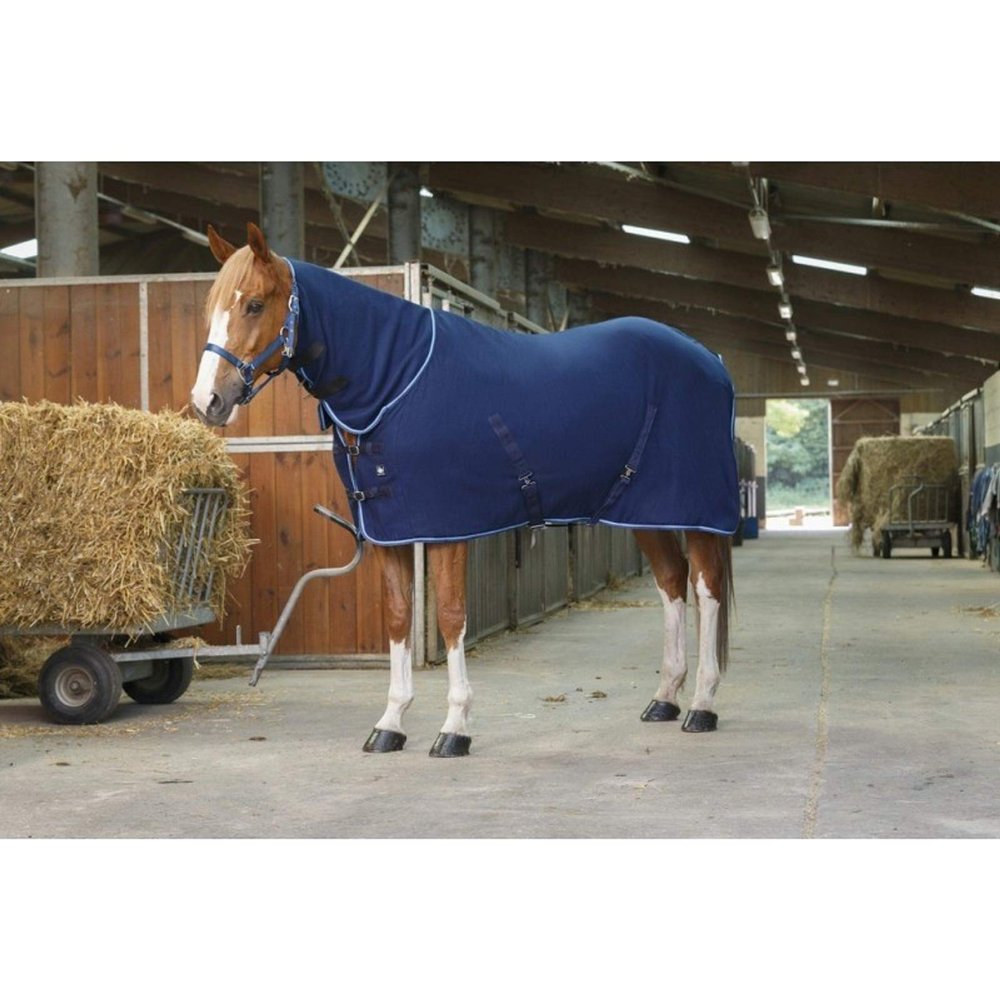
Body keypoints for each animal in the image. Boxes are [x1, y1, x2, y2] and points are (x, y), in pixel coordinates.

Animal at [191, 222, 738, 757]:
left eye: (254, 304)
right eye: (210, 307)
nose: (207, 401)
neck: (395, 382)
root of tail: (710, 360)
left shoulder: (446, 528)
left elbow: (451, 616)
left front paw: (455, 727)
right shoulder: (390, 533)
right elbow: (398, 618)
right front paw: (390, 723)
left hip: (696, 509)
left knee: (705, 587)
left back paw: (702, 705)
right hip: (645, 509)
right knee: (671, 581)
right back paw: (665, 698)